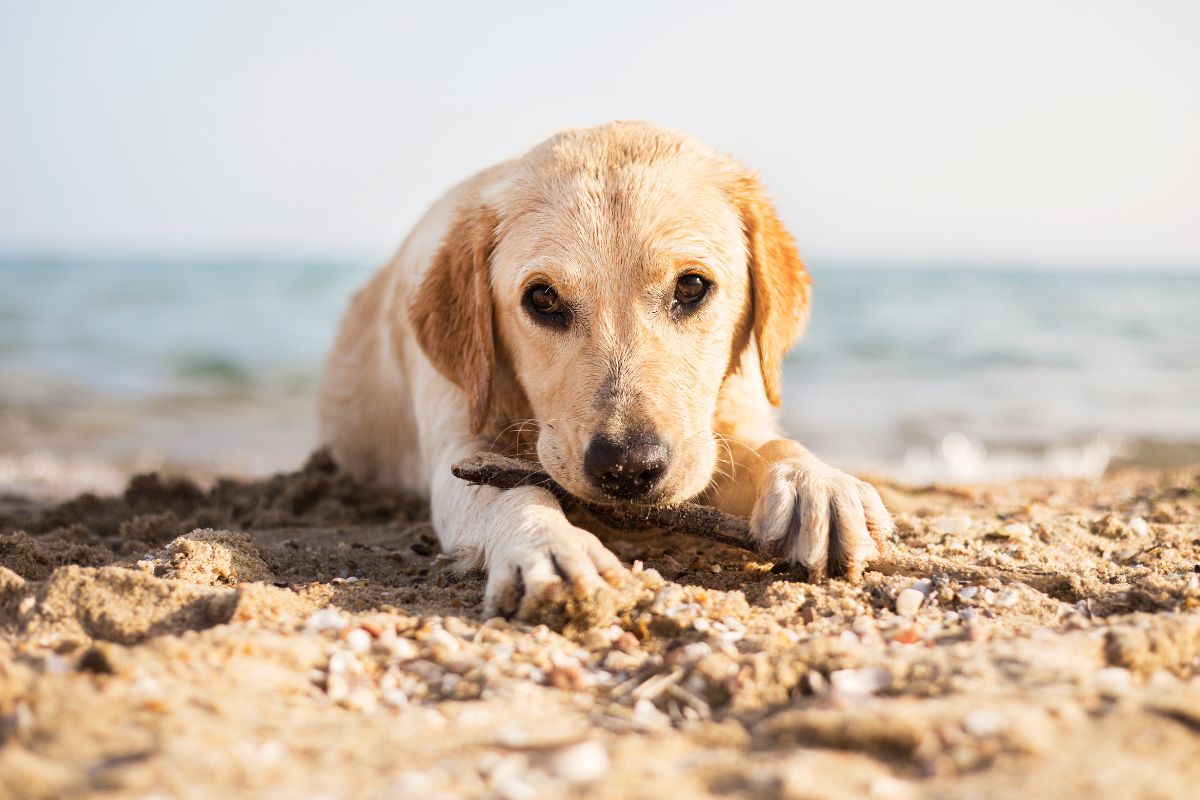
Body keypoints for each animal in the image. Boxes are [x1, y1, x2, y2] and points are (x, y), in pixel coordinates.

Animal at [319, 120, 892, 618]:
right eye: (543, 298)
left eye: (691, 286)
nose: (628, 467)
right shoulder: (457, 447)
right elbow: (513, 492)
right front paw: (548, 544)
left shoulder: (730, 419)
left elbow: (769, 445)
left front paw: (816, 484)